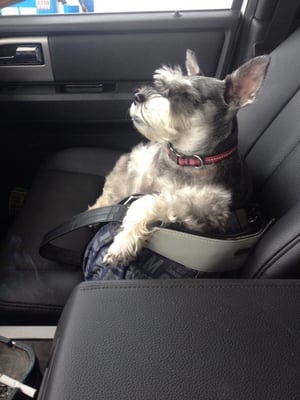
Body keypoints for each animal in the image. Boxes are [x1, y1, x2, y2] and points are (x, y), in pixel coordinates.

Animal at [88, 50, 270, 268]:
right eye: (163, 84)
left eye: (185, 95)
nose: (138, 96)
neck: (188, 159)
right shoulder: (141, 175)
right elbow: (122, 190)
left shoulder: (206, 211)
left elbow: (148, 203)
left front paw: (123, 243)